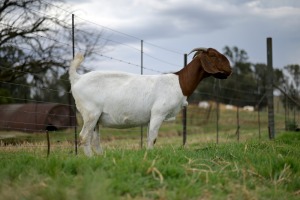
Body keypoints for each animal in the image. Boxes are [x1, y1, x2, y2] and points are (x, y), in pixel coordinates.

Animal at [69, 47, 232, 156]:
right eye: (213, 55)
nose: (229, 69)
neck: (179, 83)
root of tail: (77, 78)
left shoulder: (150, 118)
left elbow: (149, 137)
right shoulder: (158, 113)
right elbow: (152, 138)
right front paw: (150, 156)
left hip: (96, 118)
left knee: (94, 139)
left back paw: (100, 157)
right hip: (91, 113)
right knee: (84, 137)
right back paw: (90, 159)